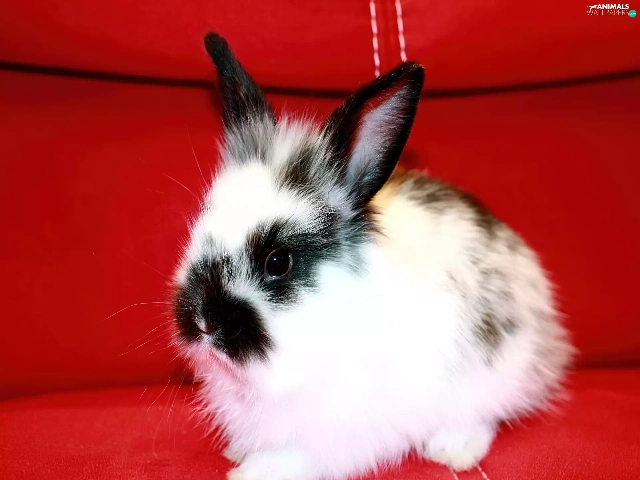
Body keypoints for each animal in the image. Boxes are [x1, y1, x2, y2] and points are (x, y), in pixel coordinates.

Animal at [171, 32, 574, 480]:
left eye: (278, 262)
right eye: (201, 224)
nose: (203, 320)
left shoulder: (328, 434)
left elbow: (292, 456)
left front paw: (250, 472)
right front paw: (238, 453)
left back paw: (452, 450)